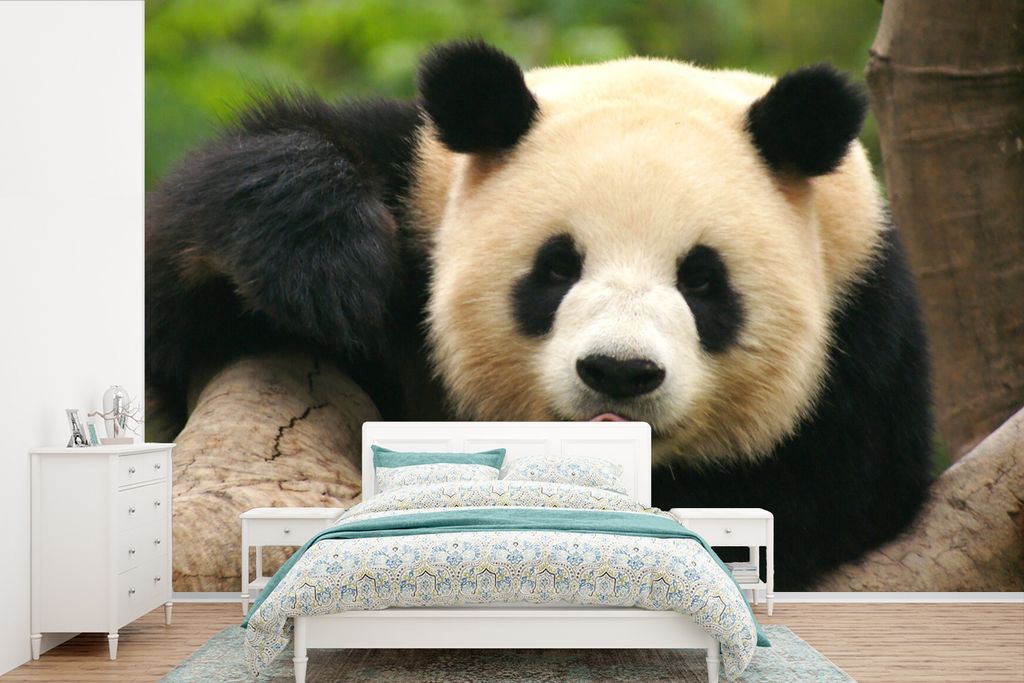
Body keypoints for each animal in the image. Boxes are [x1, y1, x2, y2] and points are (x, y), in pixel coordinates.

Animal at [146, 40, 933, 590]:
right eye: (557, 268)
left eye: (704, 281)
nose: (619, 372)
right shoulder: (417, 187)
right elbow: (174, 280)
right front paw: (324, 264)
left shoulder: (866, 321)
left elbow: (817, 494)